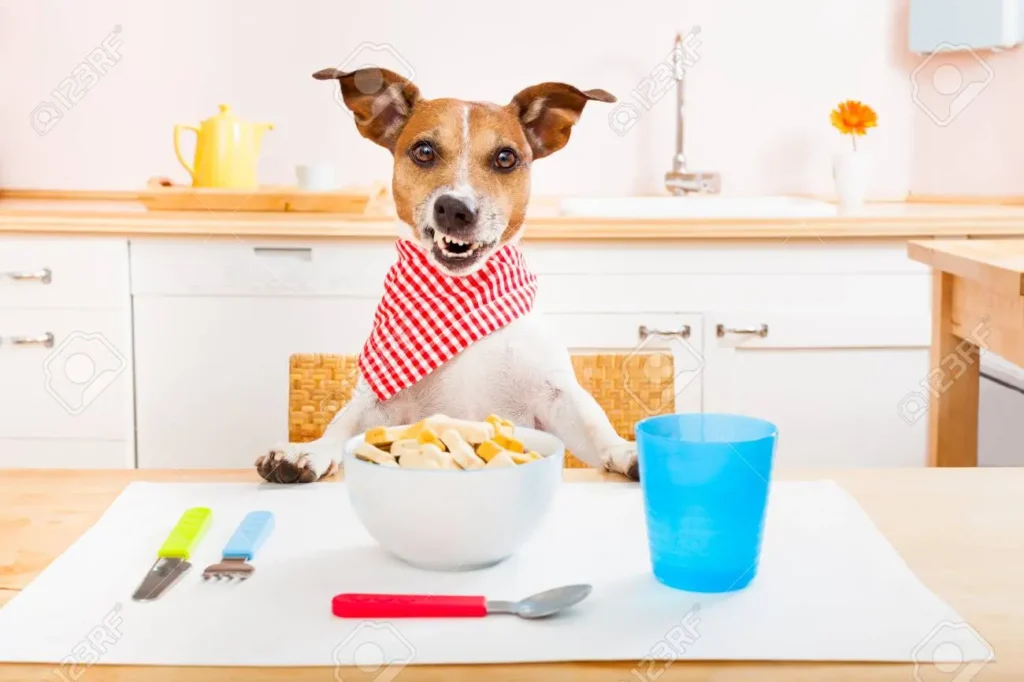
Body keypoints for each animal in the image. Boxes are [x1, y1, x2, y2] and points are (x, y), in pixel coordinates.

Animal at [256, 66, 638, 481]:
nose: (456, 208)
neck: (461, 294)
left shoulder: (556, 395)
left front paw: (626, 450)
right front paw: (306, 451)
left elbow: (595, 426)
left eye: (506, 157)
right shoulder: (378, 403)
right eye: (424, 151)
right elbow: (342, 425)